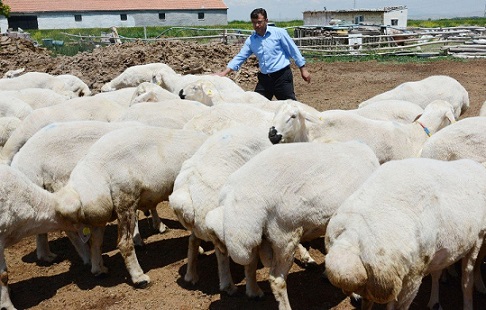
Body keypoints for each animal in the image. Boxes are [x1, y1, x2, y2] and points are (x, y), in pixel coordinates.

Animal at [55, 126, 207, 288]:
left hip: (101, 212)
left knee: (95, 241)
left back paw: (99, 269)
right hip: (125, 202)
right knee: (124, 243)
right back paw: (139, 277)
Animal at [205, 141, 380, 310]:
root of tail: (233, 193)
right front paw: (354, 293)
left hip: (244, 229)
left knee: (230, 252)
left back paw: (245, 289)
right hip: (284, 233)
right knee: (276, 279)